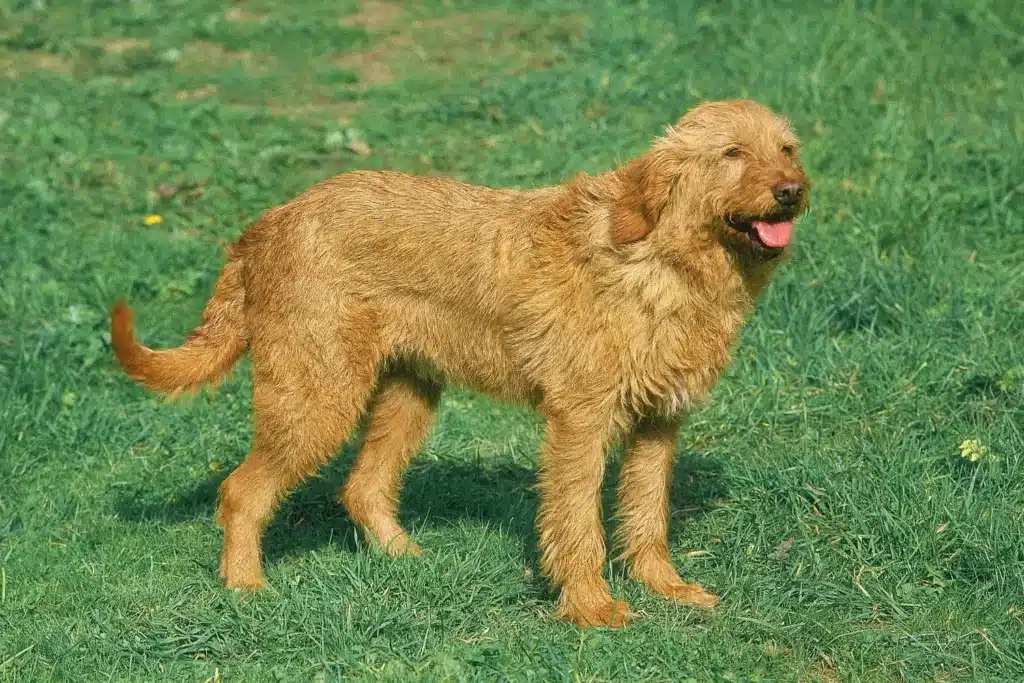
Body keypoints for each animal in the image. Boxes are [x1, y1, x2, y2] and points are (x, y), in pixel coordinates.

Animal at [112, 98, 811, 626]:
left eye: (786, 148)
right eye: (730, 153)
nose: (791, 192)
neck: (663, 261)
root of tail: (267, 225)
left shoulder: (658, 423)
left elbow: (646, 516)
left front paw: (666, 588)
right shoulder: (580, 423)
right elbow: (578, 521)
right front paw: (592, 608)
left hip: (408, 395)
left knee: (363, 487)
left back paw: (405, 559)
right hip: (317, 400)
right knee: (242, 490)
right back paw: (245, 587)